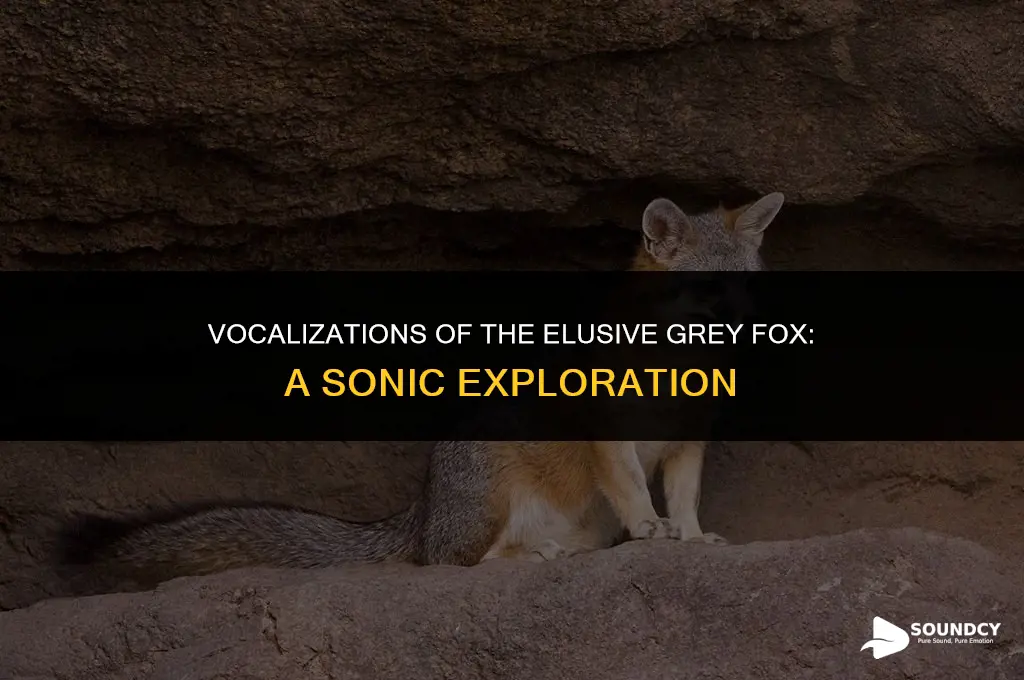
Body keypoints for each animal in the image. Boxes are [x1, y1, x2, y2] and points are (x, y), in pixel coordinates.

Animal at [56, 191, 785, 593]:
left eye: (750, 282)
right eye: (708, 290)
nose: (749, 324)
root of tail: (424, 504)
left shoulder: (690, 441)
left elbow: (685, 499)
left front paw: (691, 537)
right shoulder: (609, 431)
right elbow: (634, 487)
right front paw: (652, 530)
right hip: (490, 498)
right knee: (448, 562)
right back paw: (528, 554)